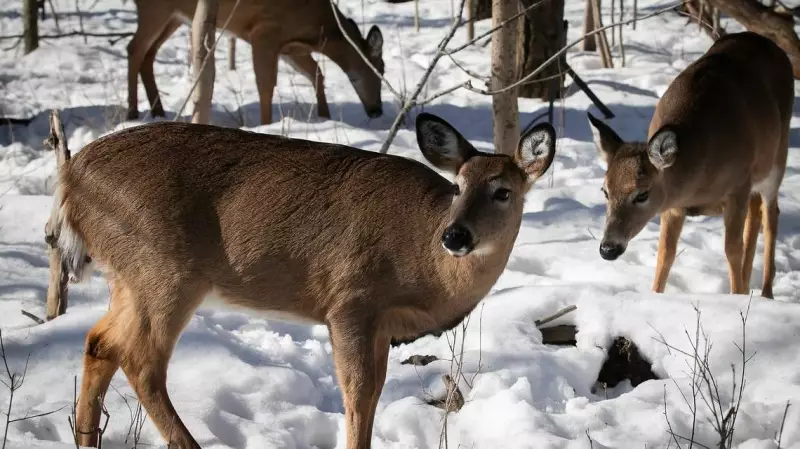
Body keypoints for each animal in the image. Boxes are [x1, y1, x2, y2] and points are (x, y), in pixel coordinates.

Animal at [48, 112, 557, 448]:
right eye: (458, 187)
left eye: (503, 192)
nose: (455, 236)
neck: (425, 262)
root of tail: (70, 176)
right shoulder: (350, 299)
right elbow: (357, 394)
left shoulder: (380, 325)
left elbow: (373, 394)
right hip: (164, 269)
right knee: (141, 361)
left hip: (129, 276)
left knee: (100, 343)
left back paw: (86, 439)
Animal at [127, 0, 385, 125]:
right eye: (379, 72)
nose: (377, 111)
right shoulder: (264, 32)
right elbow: (266, 86)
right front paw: (265, 125)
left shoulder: (289, 47)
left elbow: (317, 73)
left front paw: (325, 117)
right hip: (156, 10)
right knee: (134, 48)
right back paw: (133, 112)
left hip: (175, 17)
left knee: (148, 53)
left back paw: (158, 111)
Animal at [587, 31, 794, 299]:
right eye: (605, 191)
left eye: (642, 194)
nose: (608, 248)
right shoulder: (673, 206)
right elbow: (665, 253)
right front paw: (655, 294)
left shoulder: (738, 186)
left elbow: (732, 249)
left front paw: (736, 296)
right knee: (756, 214)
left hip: (778, 158)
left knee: (771, 217)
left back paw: (766, 293)